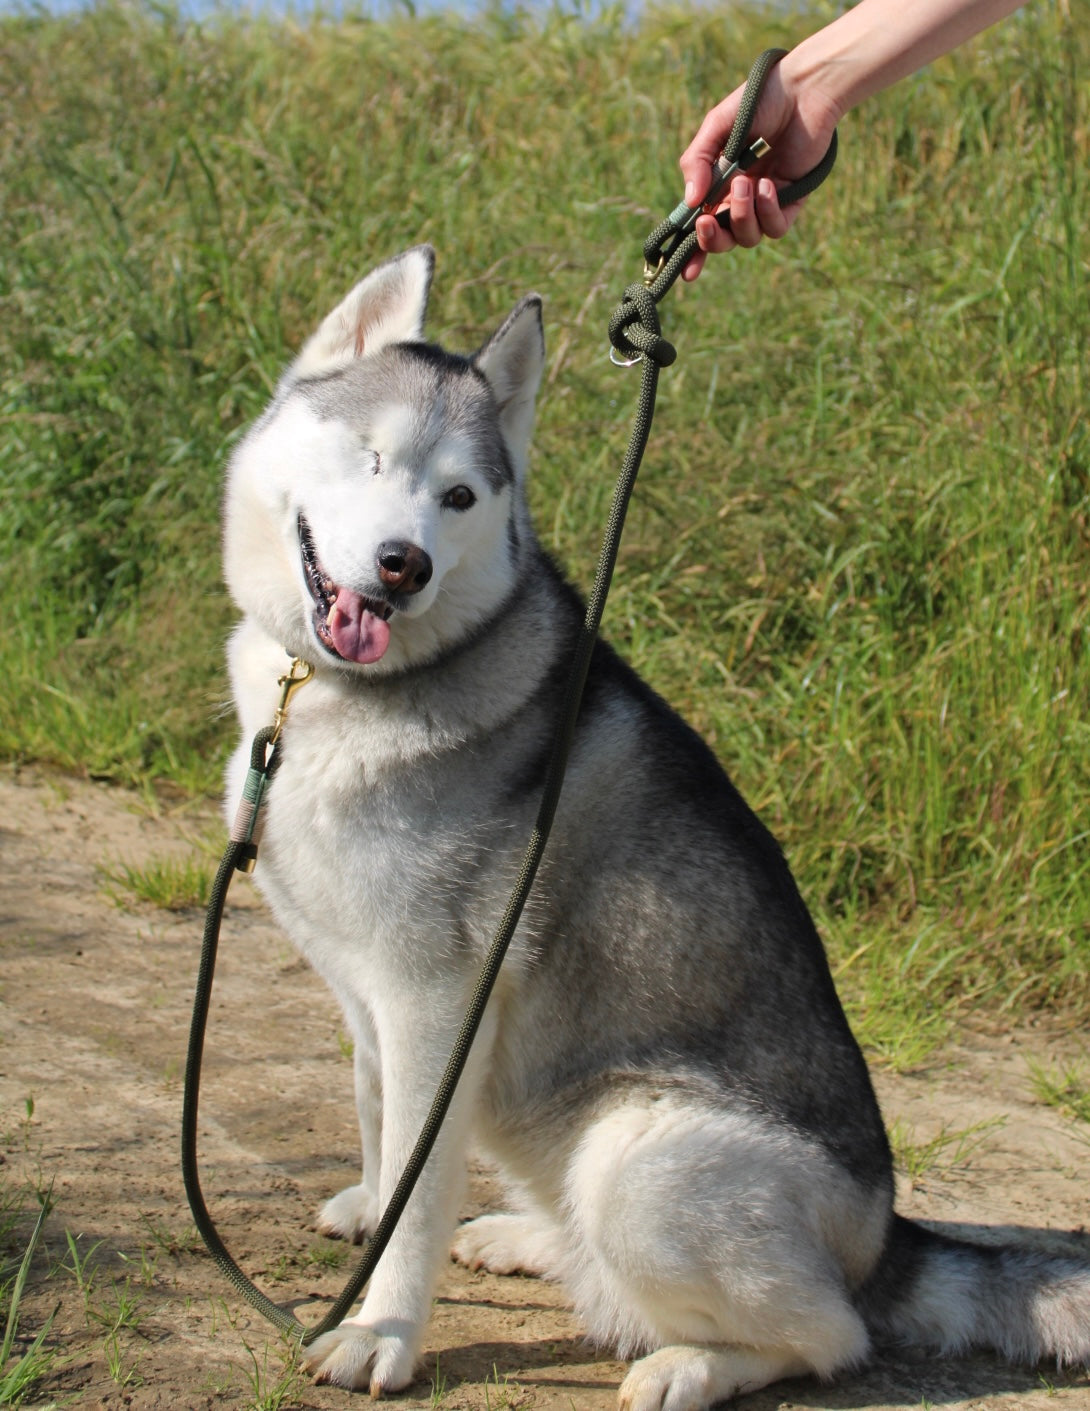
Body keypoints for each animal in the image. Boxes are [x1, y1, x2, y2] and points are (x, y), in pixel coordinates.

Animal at [222, 248, 1088, 1405]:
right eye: (371, 458)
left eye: (458, 496)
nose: (406, 562)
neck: (334, 695)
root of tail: (883, 1240)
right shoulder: (371, 996)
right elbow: (381, 1126)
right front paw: (371, 1209)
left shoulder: (434, 1000)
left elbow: (416, 1172)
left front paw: (381, 1326)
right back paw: (528, 1238)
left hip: (638, 1157)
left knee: (830, 1334)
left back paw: (690, 1363)